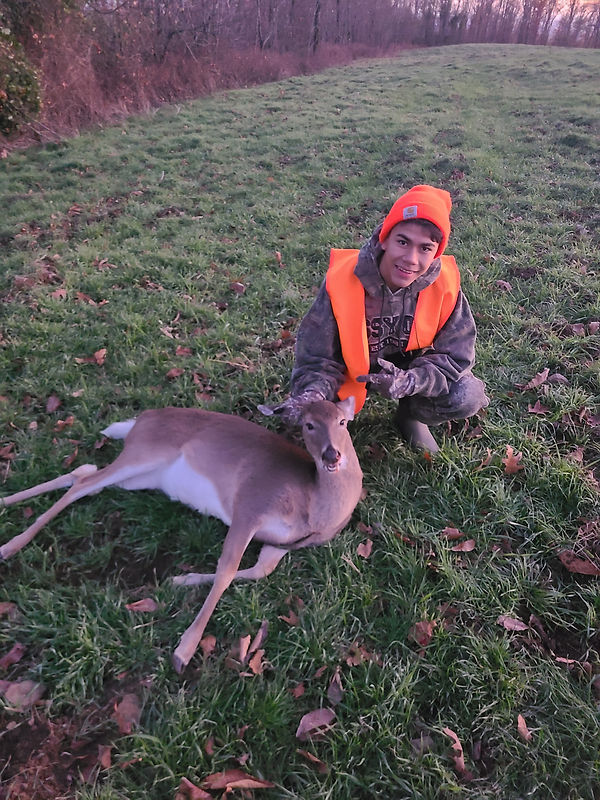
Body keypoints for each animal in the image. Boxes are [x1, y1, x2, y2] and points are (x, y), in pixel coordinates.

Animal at [0, 397, 362, 673]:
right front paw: (184, 650)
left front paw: (182, 579)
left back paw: (6, 504)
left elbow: (258, 571)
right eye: (308, 424)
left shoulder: (279, 544)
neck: (313, 506)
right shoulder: (250, 506)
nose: (332, 455)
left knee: (82, 473)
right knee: (84, 483)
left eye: (343, 421)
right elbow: (227, 570)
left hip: (145, 477)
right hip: (145, 453)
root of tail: (141, 419)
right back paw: (11, 545)